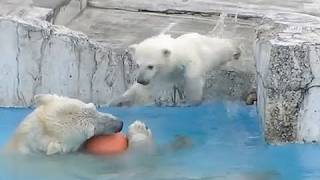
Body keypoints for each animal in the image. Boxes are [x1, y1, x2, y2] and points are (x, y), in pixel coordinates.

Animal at [110, 32, 240, 107]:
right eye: (137, 65)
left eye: (150, 66)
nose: (141, 80)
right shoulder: (159, 76)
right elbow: (142, 90)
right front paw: (119, 100)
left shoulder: (190, 63)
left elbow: (193, 81)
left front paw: (193, 101)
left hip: (213, 50)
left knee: (223, 48)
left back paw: (237, 50)